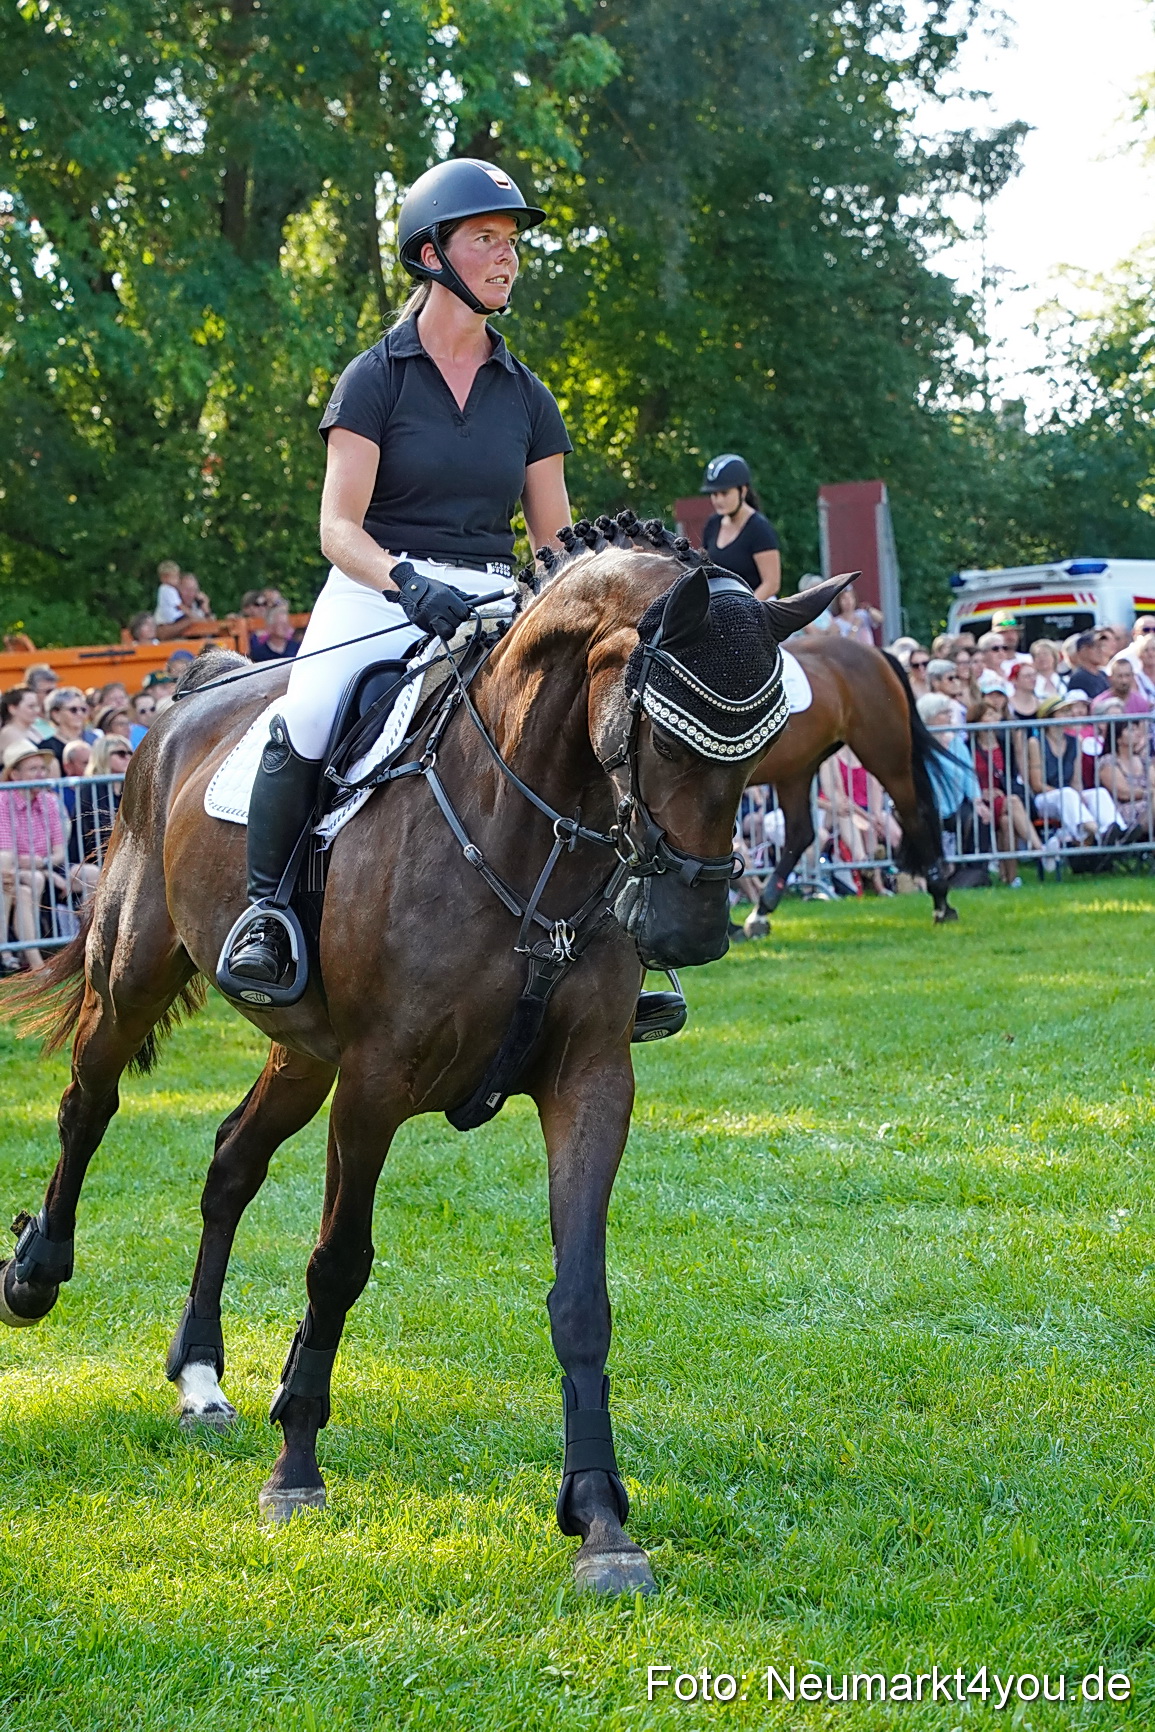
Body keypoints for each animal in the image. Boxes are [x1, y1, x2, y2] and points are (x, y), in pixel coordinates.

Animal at [0, 536, 843, 1596]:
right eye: (660, 736)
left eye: (765, 744)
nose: (691, 933)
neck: (528, 839)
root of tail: (187, 702)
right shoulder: (374, 1082)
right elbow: (337, 1265)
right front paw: (296, 1469)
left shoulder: (589, 1082)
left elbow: (581, 1297)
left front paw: (601, 1518)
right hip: (136, 977)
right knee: (89, 1104)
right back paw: (35, 1274)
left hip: (300, 1053)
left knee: (230, 1163)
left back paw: (199, 1376)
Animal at [741, 639, 954, 934]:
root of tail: (875, 652)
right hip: (797, 767)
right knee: (801, 832)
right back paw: (761, 911)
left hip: (886, 758)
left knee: (914, 818)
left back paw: (941, 903)